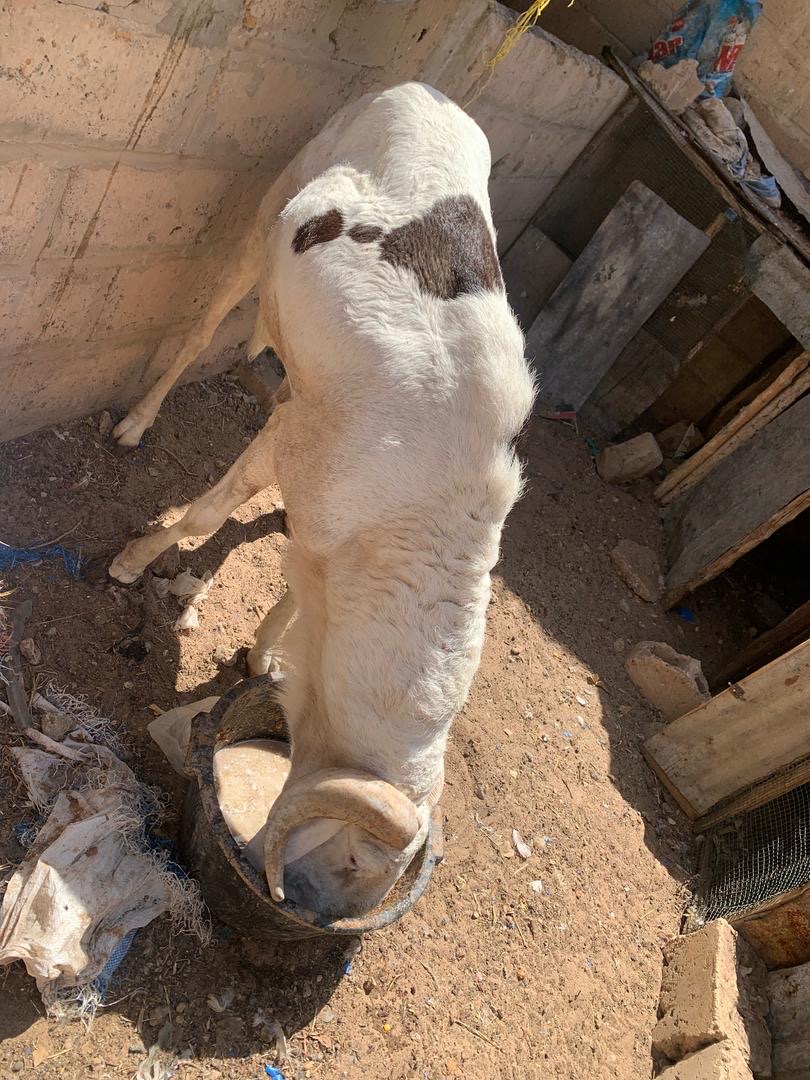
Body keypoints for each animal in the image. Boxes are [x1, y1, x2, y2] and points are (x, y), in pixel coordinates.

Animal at [109, 82, 535, 918]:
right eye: (353, 856)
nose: (298, 904)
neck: (417, 517)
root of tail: (428, 90)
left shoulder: (328, 535)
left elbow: (295, 590)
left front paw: (266, 652)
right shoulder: (287, 447)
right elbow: (207, 515)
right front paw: (133, 560)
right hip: (271, 212)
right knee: (204, 325)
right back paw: (138, 422)